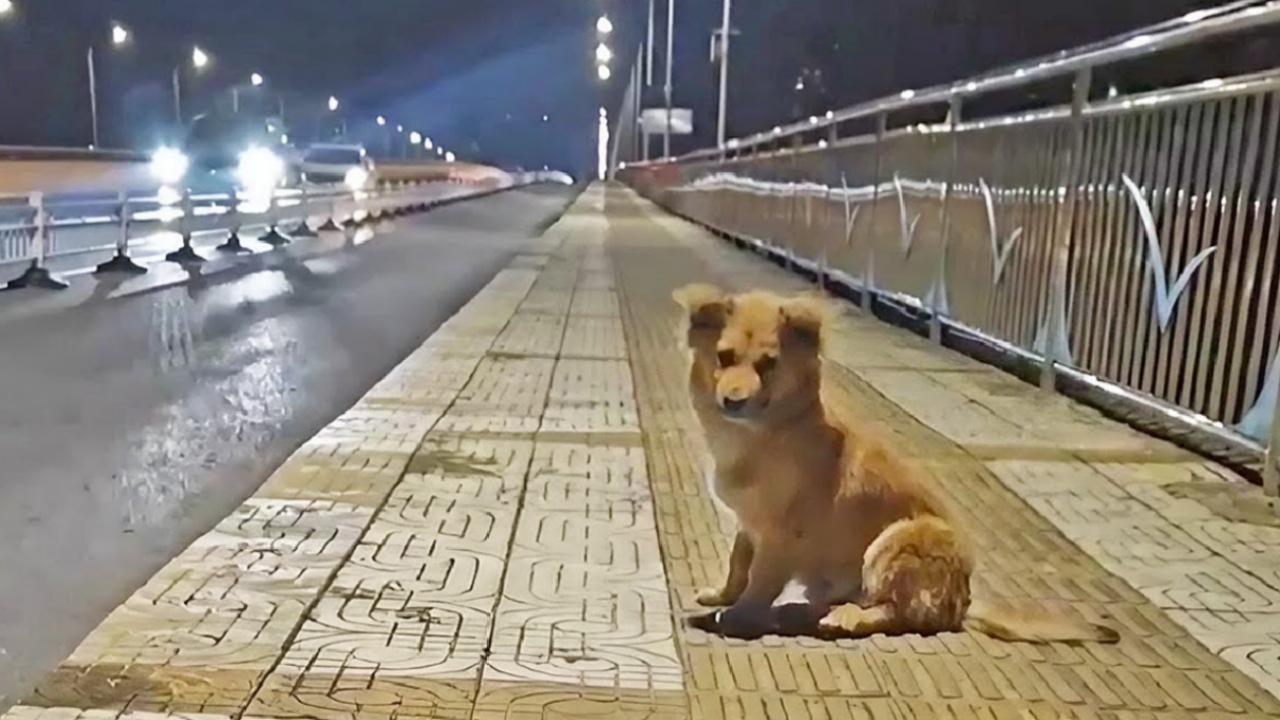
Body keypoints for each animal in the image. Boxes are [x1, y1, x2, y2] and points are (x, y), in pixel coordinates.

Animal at [675, 283, 1116, 640]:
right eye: (724, 357)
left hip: (901, 538)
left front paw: (739, 615)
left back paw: (843, 617)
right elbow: (738, 562)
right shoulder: (750, 525)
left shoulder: (783, 534)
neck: (764, 435)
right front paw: (722, 595)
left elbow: (760, 580)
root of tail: (963, 602)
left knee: (898, 613)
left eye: (768, 365)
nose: (733, 401)